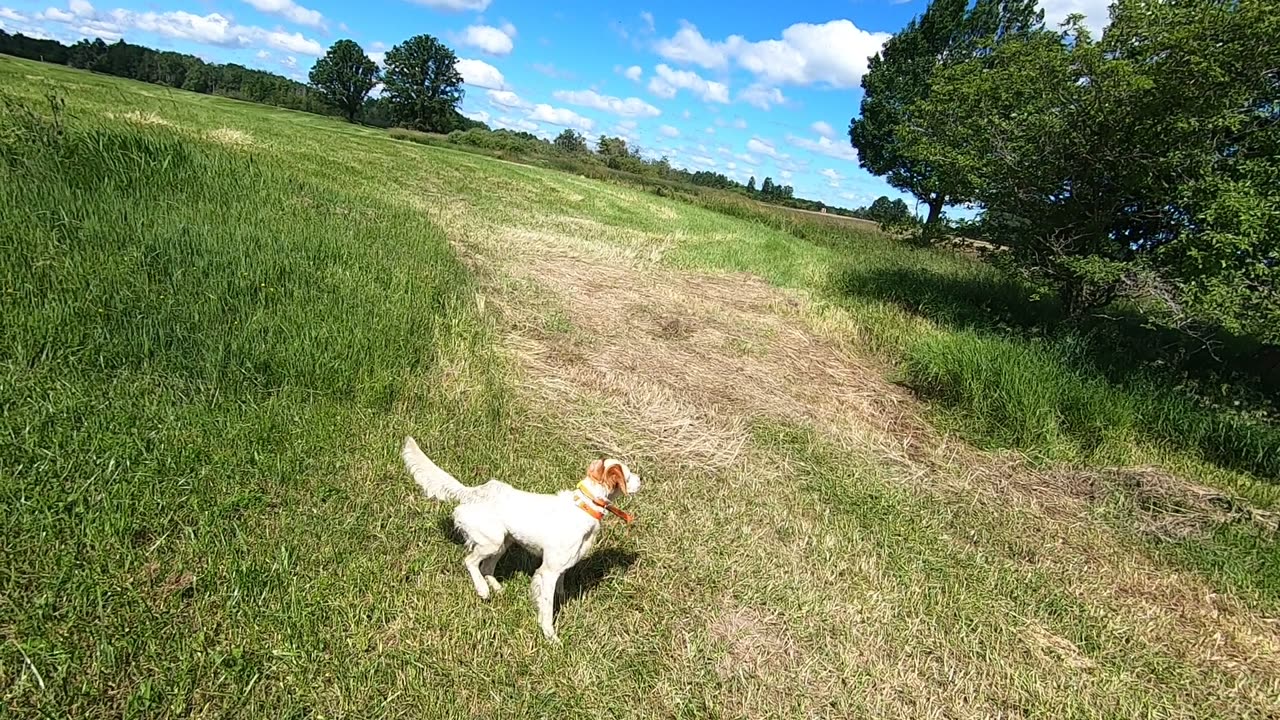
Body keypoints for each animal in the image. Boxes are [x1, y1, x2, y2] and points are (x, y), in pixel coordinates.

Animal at [399, 430, 640, 638]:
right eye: (628, 476)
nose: (642, 479)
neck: (583, 507)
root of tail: (475, 492)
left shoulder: (563, 565)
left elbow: (560, 588)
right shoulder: (548, 571)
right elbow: (546, 606)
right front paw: (550, 636)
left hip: (504, 542)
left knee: (487, 567)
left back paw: (496, 587)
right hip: (493, 540)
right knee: (470, 561)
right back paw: (482, 589)